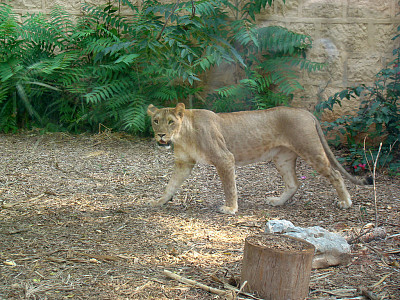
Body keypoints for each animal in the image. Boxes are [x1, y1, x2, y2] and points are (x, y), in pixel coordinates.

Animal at [147, 104, 372, 214]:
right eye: (156, 121)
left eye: (171, 121)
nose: (161, 135)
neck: (183, 135)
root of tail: (306, 112)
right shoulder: (184, 163)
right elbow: (171, 184)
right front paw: (159, 201)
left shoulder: (224, 158)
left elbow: (229, 187)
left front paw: (230, 209)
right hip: (282, 158)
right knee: (294, 183)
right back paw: (277, 201)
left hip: (310, 150)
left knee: (335, 174)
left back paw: (345, 202)